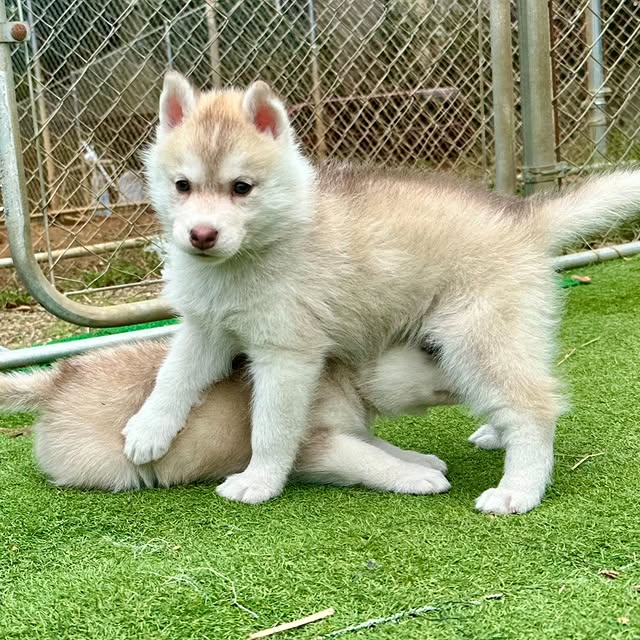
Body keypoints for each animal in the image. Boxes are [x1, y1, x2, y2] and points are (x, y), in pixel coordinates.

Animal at [0, 341, 458, 493]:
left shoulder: (346, 427)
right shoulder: (314, 445)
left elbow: (379, 445)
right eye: (431, 348)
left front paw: (419, 459)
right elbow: (369, 458)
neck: (345, 373)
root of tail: (60, 377)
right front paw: (416, 476)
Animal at [123, 71, 640, 513]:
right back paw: (498, 435)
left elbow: (271, 427)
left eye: (242, 188)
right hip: (505, 336)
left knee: (535, 404)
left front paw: (259, 481)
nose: (201, 235)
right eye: (182, 185)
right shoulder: (204, 327)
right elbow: (173, 378)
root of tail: (527, 217)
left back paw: (519, 490)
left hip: (475, 337)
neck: (249, 256)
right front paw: (148, 431)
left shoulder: (286, 355)